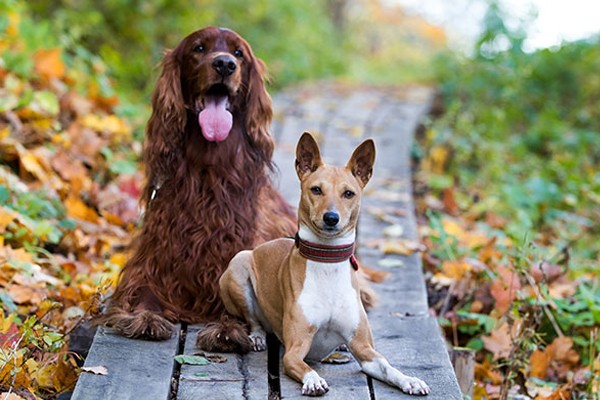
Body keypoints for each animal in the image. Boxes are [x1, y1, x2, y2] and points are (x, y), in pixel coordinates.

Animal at [218, 133, 428, 396]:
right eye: (316, 190)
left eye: (348, 193)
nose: (331, 217)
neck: (327, 260)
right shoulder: (294, 351)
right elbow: (305, 366)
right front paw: (314, 380)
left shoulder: (366, 350)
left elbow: (388, 367)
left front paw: (409, 380)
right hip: (238, 266)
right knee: (252, 319)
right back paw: (256, 336)